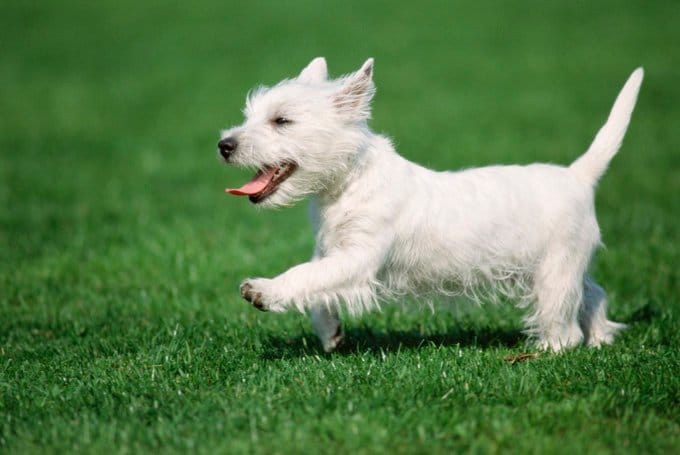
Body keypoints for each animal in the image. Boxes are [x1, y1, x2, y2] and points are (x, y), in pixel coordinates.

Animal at [218, 58, 644, 352]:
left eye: (282, 121)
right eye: (251, 116)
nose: (224, 145)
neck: (348, 182)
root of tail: (578, 175)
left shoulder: (358, 257)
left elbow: (303, 275)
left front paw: (263, 291)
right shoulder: (331, 252)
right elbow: (316, 288)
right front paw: (332, 335)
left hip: (554, 271)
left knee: (565, 325)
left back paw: (545, 351)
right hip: (564, 267)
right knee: (592, 294)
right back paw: (601, 336)